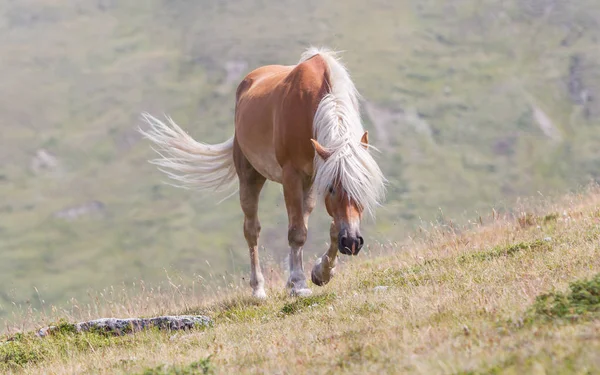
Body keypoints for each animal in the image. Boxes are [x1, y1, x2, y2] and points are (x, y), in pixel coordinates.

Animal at [139, 47, 386, 300]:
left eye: (364, 188)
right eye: (332, 188)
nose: (352, 242)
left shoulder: (316, 176)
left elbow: (333, 228)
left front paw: (321, 273)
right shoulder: (292, 176)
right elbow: (297, 232)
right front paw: (299, 284)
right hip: (250, 176)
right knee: (252, 230)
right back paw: (258, 289)